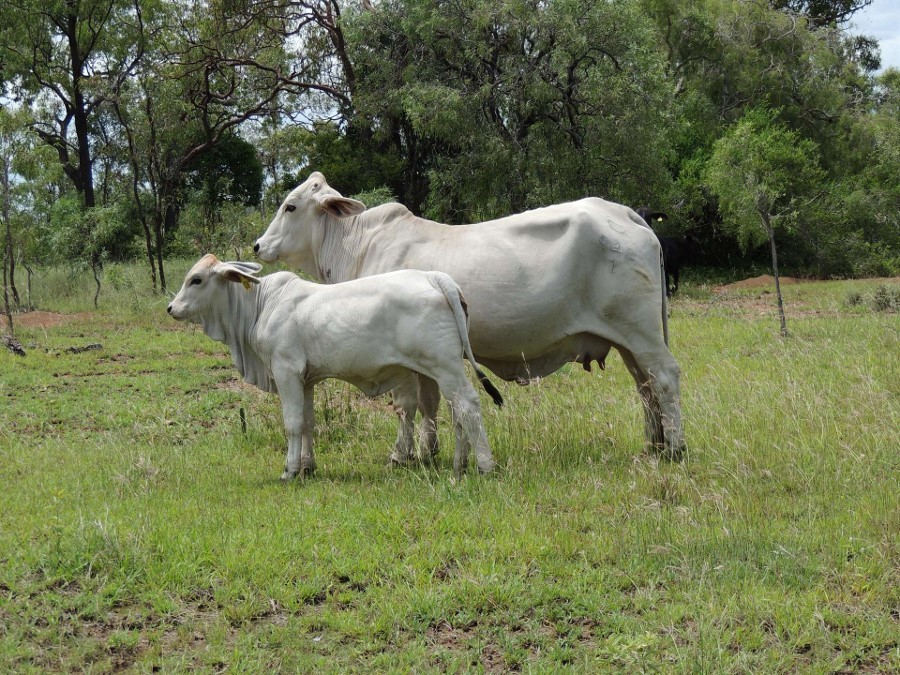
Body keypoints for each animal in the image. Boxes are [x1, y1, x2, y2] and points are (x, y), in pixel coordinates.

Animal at [167, 254, 502, 479]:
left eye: (196, 279)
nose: (171, 308)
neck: (262, 304)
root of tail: (435, 277)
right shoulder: (306, 379)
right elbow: (307, 422)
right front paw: (307, 466)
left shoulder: (286, 371)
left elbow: (292, 422)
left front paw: (290, 470)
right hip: (445, 370)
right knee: (457, 411)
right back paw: (460, 464)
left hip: (444, 366)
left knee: (468, 404)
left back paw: (485, 465)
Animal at [254, 172, 685, 460]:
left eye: (290, 206)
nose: (258, 245)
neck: (357, 245)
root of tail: (626, 213)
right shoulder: (426, 358)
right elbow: (430, 404)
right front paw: (429, 451)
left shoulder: (401, 356)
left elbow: (406, 405)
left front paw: (403, 455)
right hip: (626, 339)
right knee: (645, 386)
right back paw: (654, 443)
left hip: (642, 331)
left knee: (664, 378)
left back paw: (675, 448)